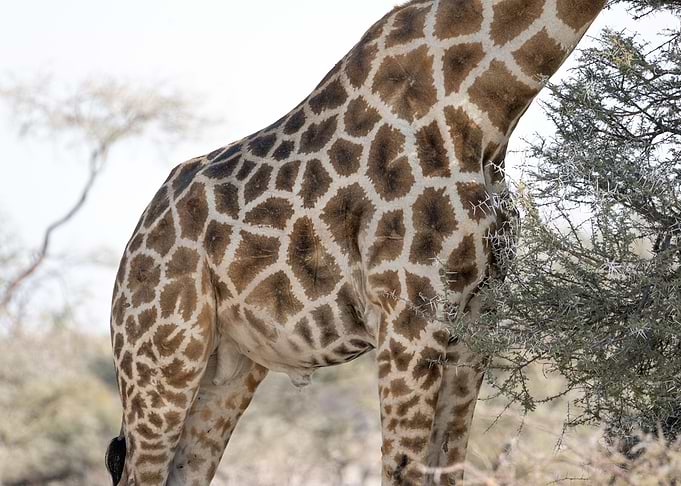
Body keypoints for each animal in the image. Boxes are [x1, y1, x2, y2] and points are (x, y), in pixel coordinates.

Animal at [106, 0, 606, 484]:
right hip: (161, 353)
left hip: (229, 364)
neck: (490, 106)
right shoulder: (410, 312)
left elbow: (447, 468)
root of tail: (134, 241)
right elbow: (402, 470)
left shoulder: (478, 316)